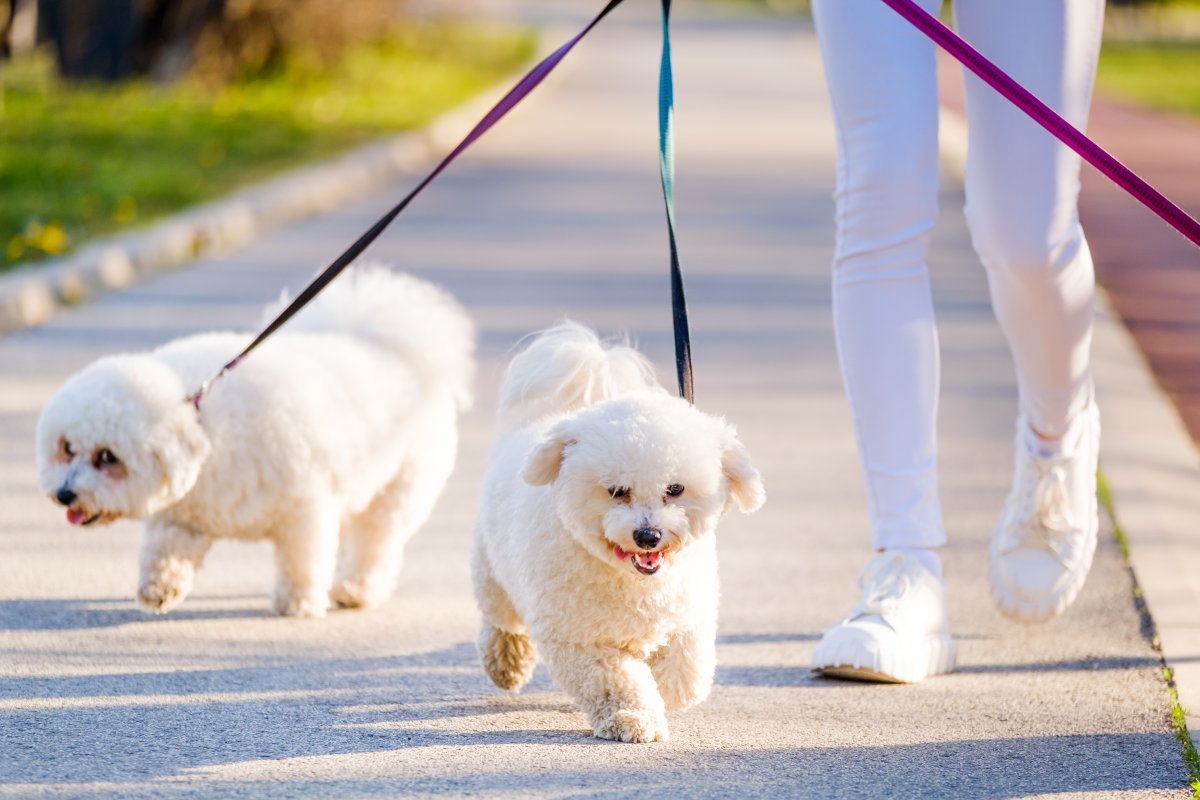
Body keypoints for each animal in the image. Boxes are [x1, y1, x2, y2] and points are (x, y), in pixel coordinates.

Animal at [34, 268, 472, 618]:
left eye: (107, 457)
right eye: (67, 448)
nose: (64, 494)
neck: (204, 423)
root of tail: (393, 350)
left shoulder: (305, 508)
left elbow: (302, 562)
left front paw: (297, 604)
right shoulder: (185, 516)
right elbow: (163, 551)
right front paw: (160, 589)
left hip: (395, 492)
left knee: (375, 543)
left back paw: (354, 590)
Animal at [468, 323, 758, 743]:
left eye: (675, 489)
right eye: (617, 491)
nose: (648, 536)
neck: (633, 582)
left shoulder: (689, 616)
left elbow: (687, 674)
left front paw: (666, 693)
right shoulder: (581, 638)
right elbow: (617, 682)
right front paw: (633, 718)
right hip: (493, 573)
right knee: (501, 619)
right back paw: (507, 661)